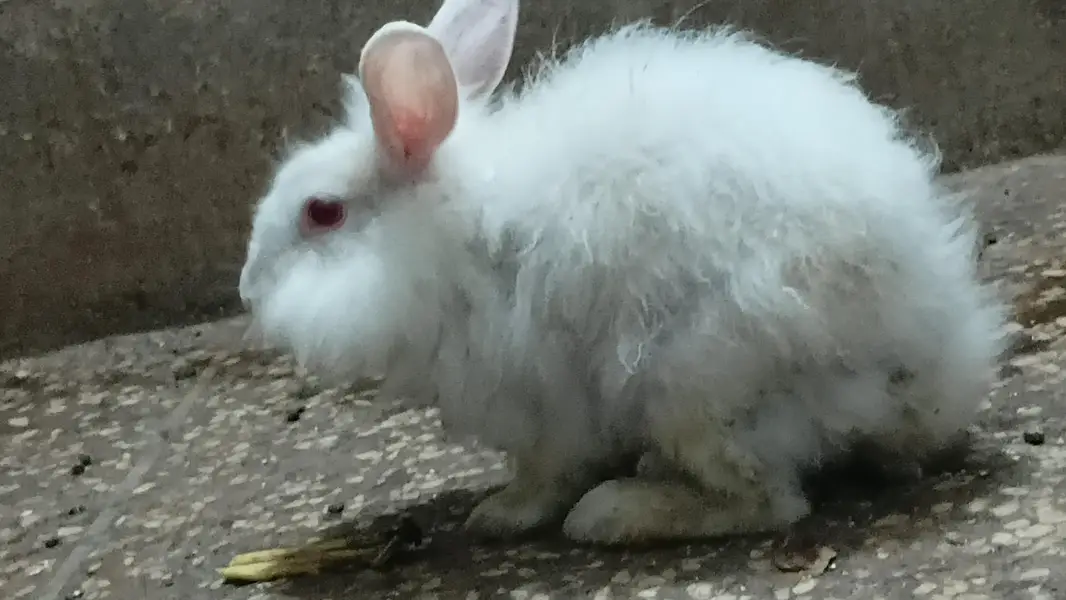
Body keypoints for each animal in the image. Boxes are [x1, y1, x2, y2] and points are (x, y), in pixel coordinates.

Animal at [238, 0, 1008, 545]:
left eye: (322, 213)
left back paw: (614, 514)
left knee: (770, 502)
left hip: (695, 387)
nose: (247, 288)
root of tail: (938, 364)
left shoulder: (541, 400)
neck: (445, 240)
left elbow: (547, 472)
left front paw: (501, 514)